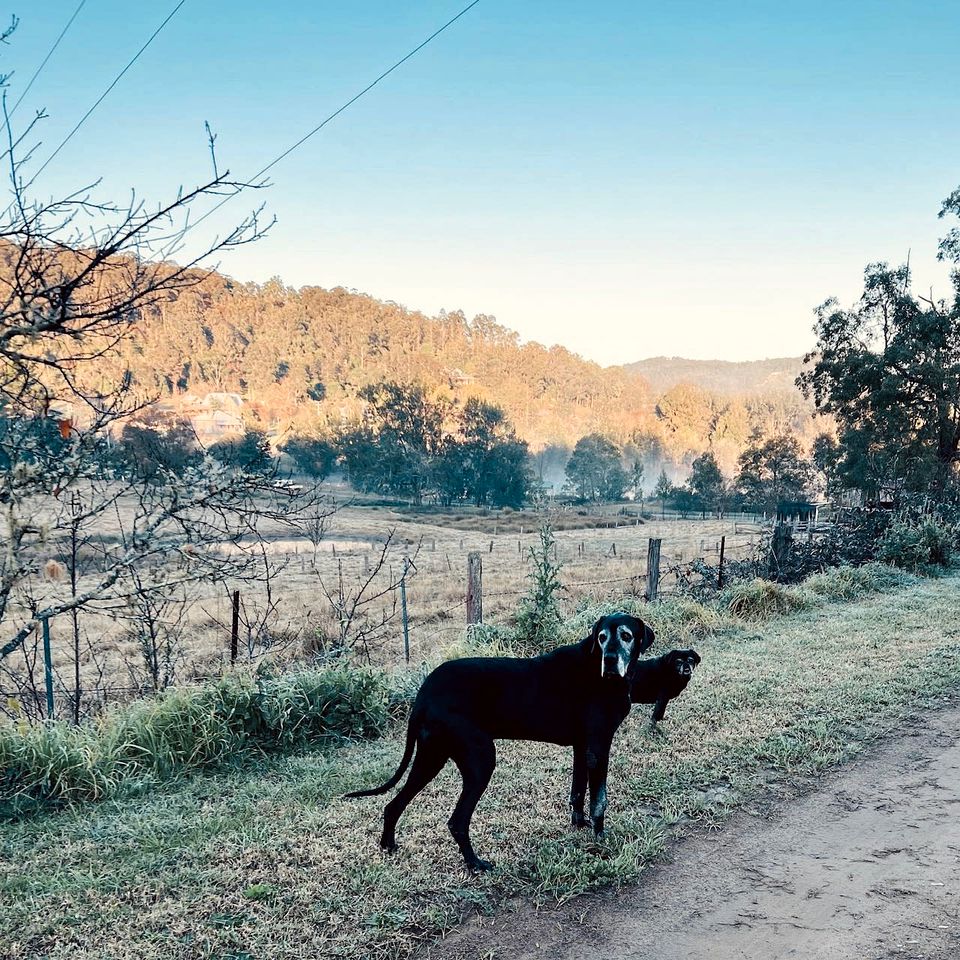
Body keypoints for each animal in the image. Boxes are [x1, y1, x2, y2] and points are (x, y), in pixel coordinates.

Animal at [344, 616, 652, 872]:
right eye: (601, 637)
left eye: (626, 635)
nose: (609, 660)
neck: (596, 669)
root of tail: (424, 692)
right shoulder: (600, 746)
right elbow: (599, 799)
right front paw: (600, 837)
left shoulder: (582, 747)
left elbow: (578, 791)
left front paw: (579, 824)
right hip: (480, 759)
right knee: (457, 821)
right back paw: (475, 863)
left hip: (431, 757)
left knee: (394, 804)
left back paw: (388, 845)